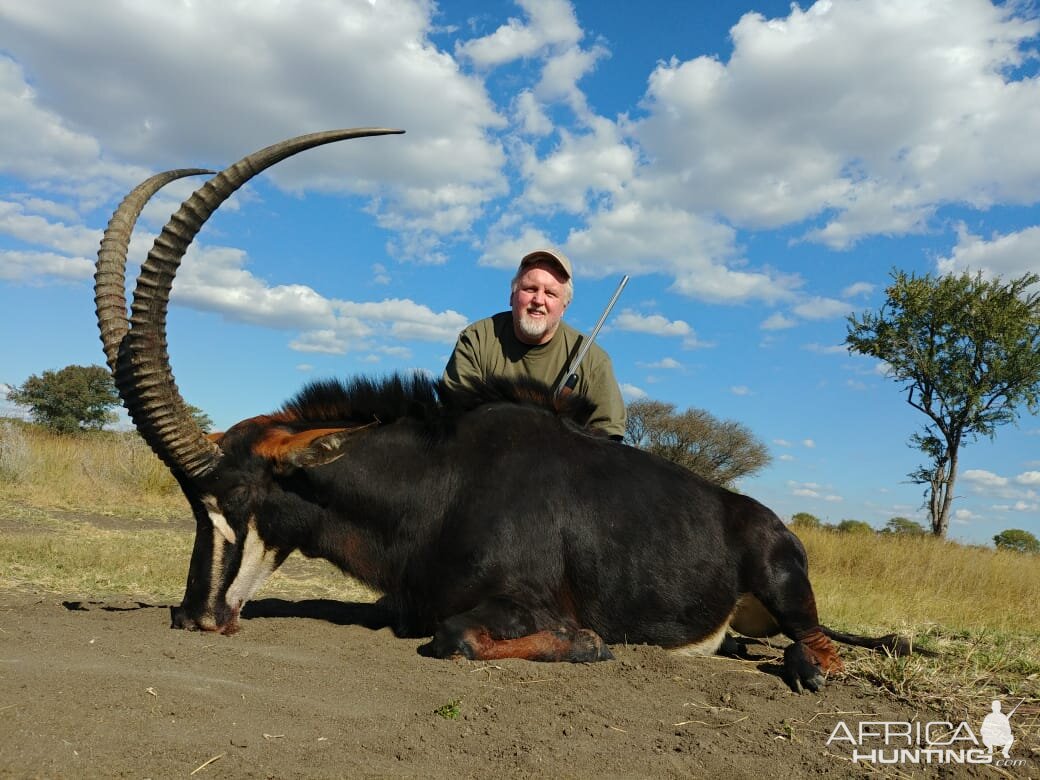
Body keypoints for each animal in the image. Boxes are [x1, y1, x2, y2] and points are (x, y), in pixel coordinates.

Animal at [95, 130, 919, 694]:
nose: (194, 615)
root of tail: (766, 517)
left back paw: (813, 668)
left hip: (785, 584)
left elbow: (458, 637)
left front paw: (589, 645)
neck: (441, 486)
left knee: (818, 645)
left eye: (236, 496)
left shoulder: (517, 605)